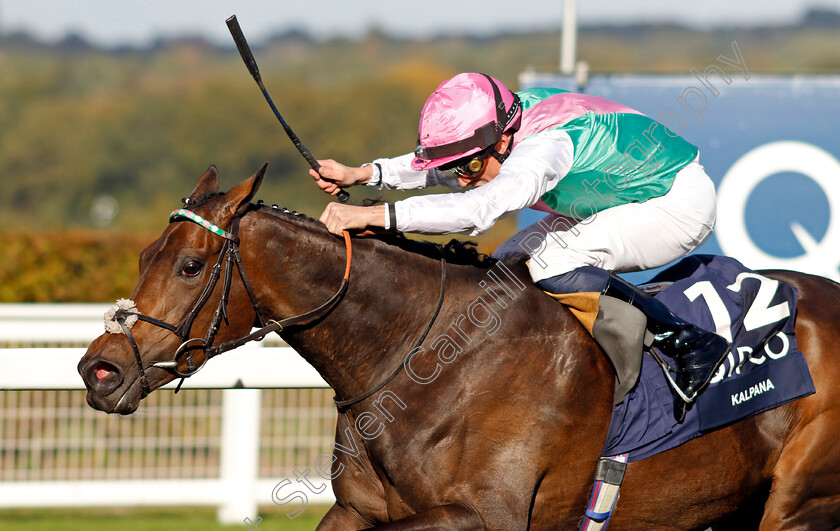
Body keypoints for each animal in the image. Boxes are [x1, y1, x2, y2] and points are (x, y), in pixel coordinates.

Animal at [79, 165, 840, 528]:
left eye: (190, 266)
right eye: (144, 254)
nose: (98, 368)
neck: (424, 361)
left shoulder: (487, 514)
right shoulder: (360, 508)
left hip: (795, 501)